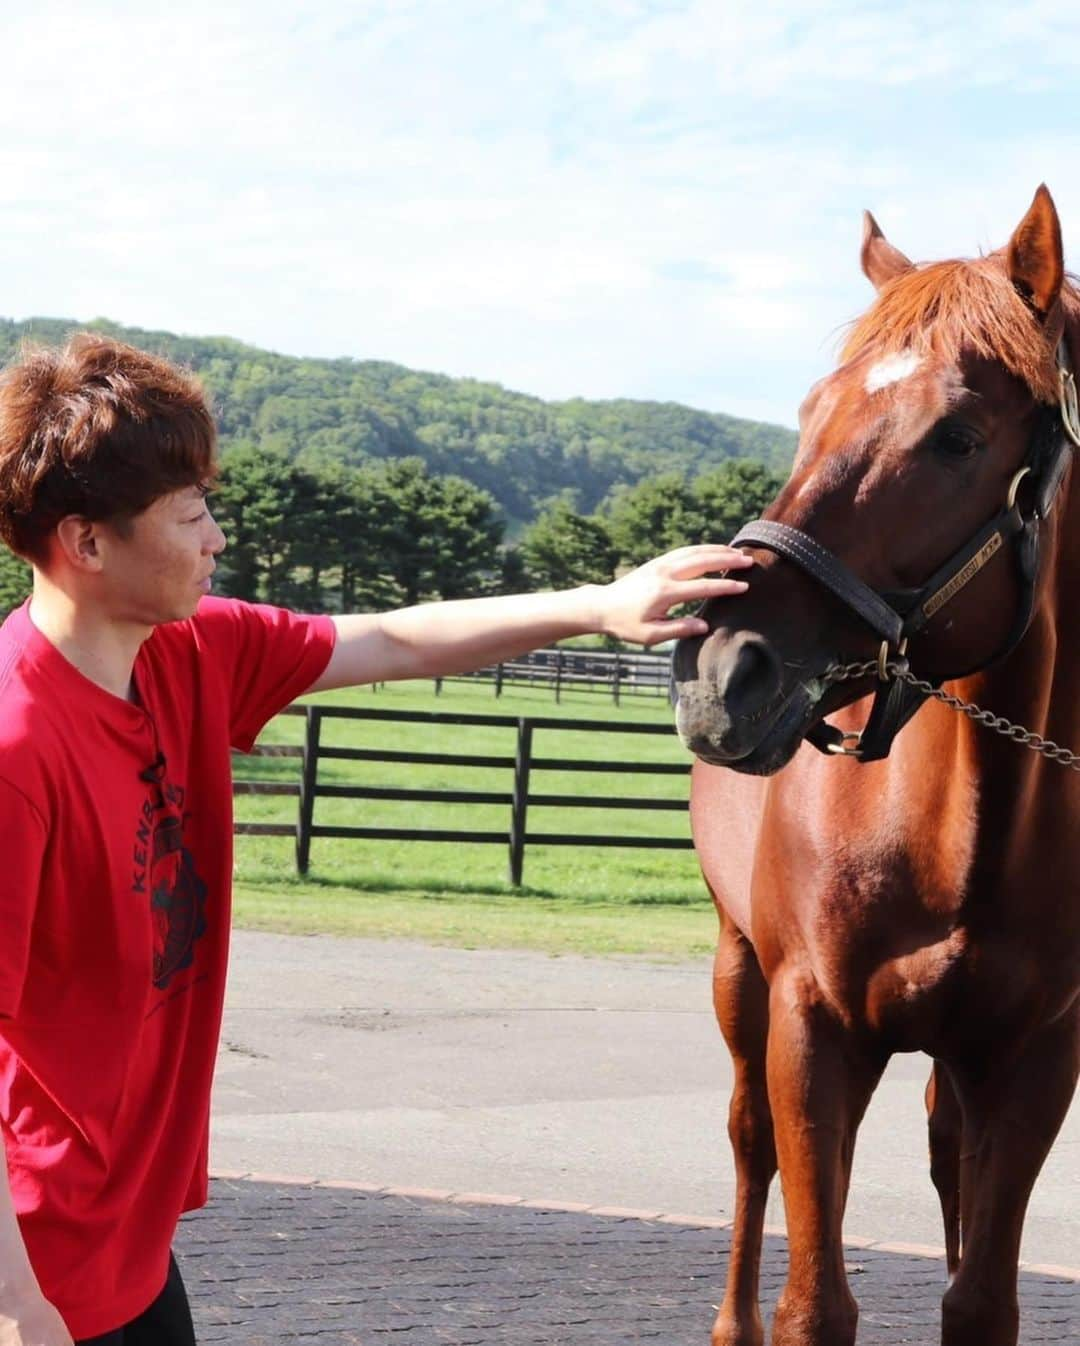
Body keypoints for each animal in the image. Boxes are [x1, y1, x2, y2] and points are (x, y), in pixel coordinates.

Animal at [673, 187, 1077, 1346]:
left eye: (958, 436)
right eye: (812, 411)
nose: (722, 666)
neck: (955, 831)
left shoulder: (1035, 1056)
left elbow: (980, 1298)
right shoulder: (812, 1030)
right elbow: (815, 1302)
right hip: (739, 975)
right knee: (749, 1140)